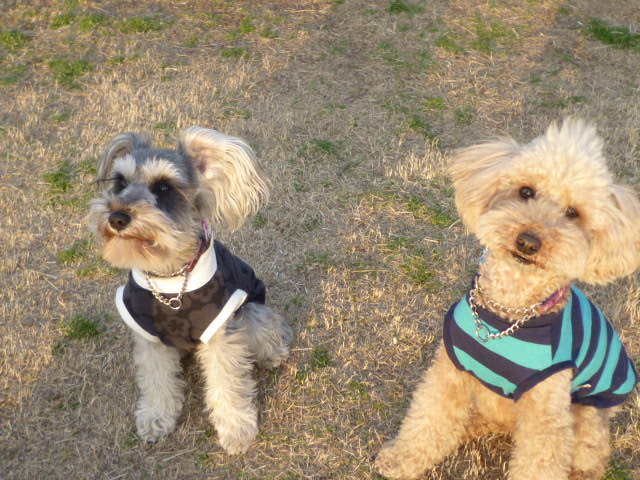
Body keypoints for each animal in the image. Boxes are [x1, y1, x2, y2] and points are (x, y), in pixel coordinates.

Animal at [88, 126, 293, 454]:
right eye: (119, 182)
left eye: (163, 187)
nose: (117, 218)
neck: (169, 276)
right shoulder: (150, 338)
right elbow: (156, 381)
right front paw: (156, 419)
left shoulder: (221, 334)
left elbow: (227, 384)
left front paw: (236, 430)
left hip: (250, 310)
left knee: (267, 328)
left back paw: (274, 354)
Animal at [375, 118, 639, 479]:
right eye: (526, 192)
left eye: (573, 213)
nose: (528, 241)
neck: (508, 311)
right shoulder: (450, 372)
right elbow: (429, 418)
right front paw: (401, 460)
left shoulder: (546, 411)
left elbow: (540, 462)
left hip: (584, 415)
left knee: (590, 455)